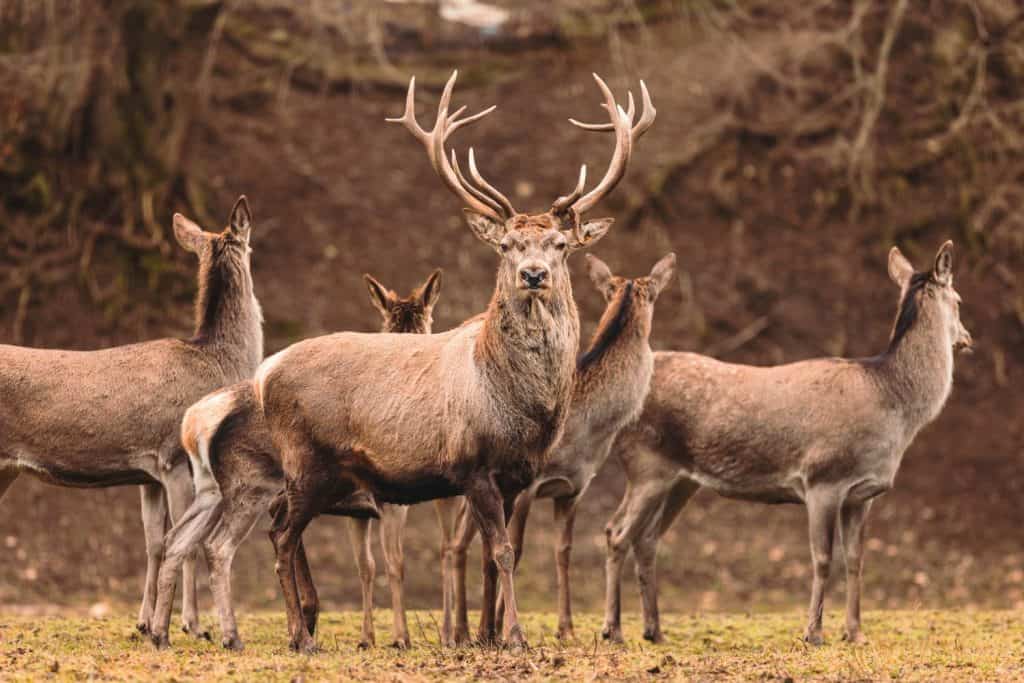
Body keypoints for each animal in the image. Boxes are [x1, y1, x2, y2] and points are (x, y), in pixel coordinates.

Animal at [0, 194, 262, 638]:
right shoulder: (174, 458)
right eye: (252, 247)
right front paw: (190, 625)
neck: (217, 362)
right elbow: (185, 542)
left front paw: (143, 621)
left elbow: (154, 542)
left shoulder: (147, 474)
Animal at [147, 270, 440, 651]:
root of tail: (193, 421)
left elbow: (365, 566)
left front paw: (360, 636)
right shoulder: (385, 502)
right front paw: (398, 637)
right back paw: (231, 636)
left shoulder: (357, 510)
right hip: (251, 490)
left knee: (177, 541)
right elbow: (392, 563)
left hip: (213, 492)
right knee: (218, 547)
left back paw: (161, 633)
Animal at [253, 69, 655, 651]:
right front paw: (515, 636)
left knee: (277, 520)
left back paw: (306, 623)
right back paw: (299, 636)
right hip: (307, 458)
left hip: (313, 473)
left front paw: (487, 634)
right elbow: (503, 552)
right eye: (507, 245)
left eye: (561, 244)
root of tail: (264, 375)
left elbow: (495, 555)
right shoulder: (473, 464)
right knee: (283, 533)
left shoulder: (518, 474)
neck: (522, 407)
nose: (534, 274)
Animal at [602, 241, 970, 647]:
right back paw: (613, 630)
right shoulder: (823, 478)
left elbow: (855, 560)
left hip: (681, 480)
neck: (894, 404)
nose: (967, 338)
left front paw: (855, 633)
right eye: (959, 300)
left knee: (647, 538)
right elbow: (822, 559)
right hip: (646, 465)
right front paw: (813, 633)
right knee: (616, 532)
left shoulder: (863, 493)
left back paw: (654, 630)